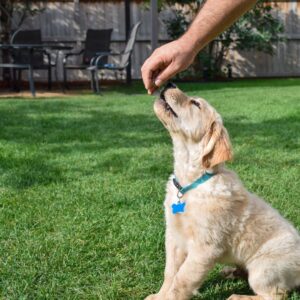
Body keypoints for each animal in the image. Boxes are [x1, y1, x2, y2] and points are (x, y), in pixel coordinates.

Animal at [145, 83, 298, 300]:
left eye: (195, 103)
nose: (169, 84)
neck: (191, 182)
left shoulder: (205, 247)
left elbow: (182, 280)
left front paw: (168, 297)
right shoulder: (174, 236)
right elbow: (170, 272)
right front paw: (159, 295)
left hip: (264, 269)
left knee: (275, 294)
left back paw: (237, 296)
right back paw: (231, 272)